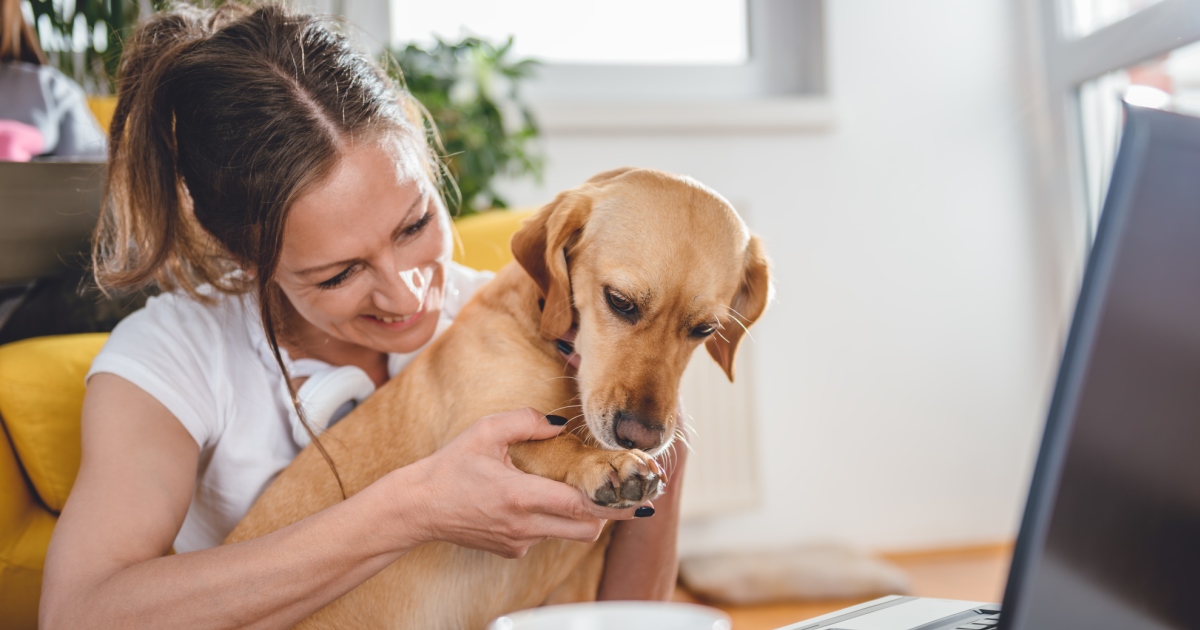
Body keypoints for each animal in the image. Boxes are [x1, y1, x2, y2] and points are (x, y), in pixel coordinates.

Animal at [224, 166, 768, 628]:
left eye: (705, 329)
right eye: (620, 302)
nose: (642, 436)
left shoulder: (577, 590)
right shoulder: (483, 427)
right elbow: (551, 442)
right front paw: (602, 463)